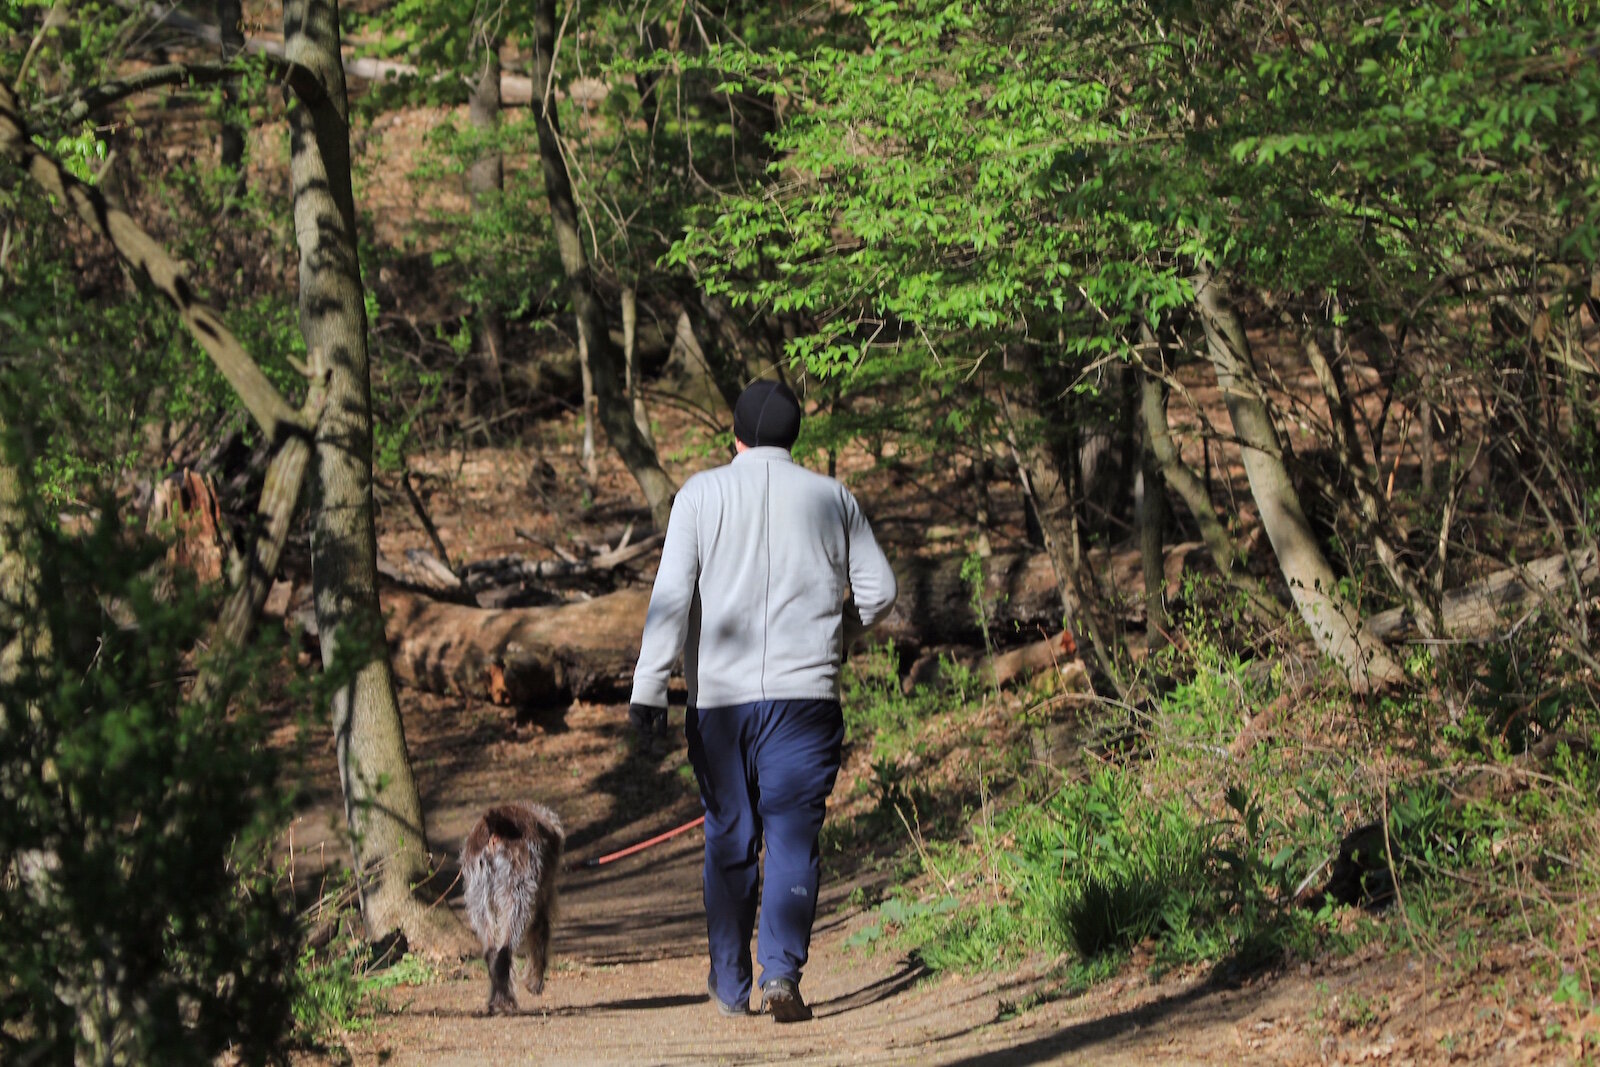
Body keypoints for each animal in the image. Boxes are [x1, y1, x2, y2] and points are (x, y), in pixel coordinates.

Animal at [460, 806, 566, 1017]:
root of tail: (496, 828)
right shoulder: (540, 903)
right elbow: (541, 939)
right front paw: (535, 982)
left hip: (478, 901)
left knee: (491, 953)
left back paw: (497, 1001)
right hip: (518, 900)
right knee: (504, 952)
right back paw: (504, 1003)